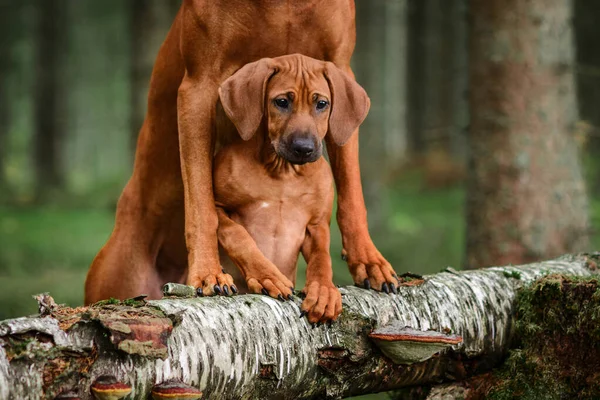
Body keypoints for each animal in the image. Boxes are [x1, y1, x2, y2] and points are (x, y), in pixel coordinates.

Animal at [82, 0, 396, 306]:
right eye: (280, 102)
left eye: (322, 104)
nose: (303, 147)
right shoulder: (199, 85)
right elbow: (202, 204)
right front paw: (208, 272)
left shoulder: (340, 66)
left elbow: (351, 190)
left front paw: (367, 260)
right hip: (120, 278)